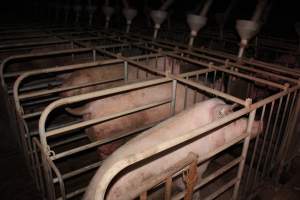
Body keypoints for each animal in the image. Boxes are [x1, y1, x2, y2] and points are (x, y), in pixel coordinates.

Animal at [84, 99, 262, 200]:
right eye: (234, 120)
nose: (260, 123)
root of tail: (91, 192)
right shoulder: (201, 162)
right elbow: (194, 185)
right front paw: (197, 195)